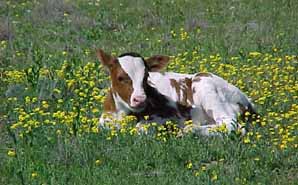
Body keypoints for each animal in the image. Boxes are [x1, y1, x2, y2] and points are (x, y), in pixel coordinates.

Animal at [96, 49, 258, 136]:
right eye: (120, 77)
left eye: (146, 76)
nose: (140, 99)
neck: (123, 113)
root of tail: (246, 98)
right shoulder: (106, 117)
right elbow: (104, 125)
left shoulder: (170, 115)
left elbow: (140, 127)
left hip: (205, 84)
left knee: (228, 123)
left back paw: (189, 130)